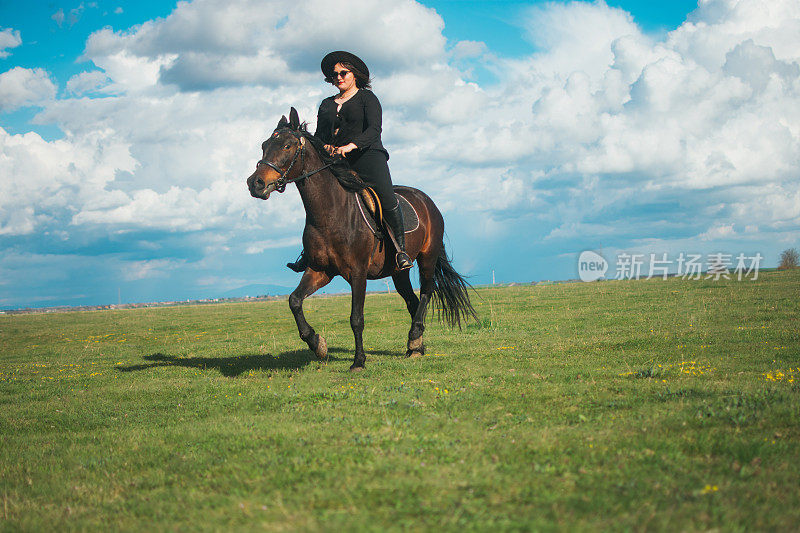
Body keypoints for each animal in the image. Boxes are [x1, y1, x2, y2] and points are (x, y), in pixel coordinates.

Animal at [247, 108, 478, 370]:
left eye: (287, 145)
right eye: (264, 145)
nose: (255, 183)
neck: (330, 213)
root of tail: (426, 201)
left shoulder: (357, 273)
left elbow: (356, 318)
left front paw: (358, 361)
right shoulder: (320, 270)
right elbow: (294, 301)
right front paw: (317, 344)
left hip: (427, 258)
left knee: (426, 294)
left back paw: (415, 337)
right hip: (398, 272)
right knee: (412, 301)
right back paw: (415, 346)